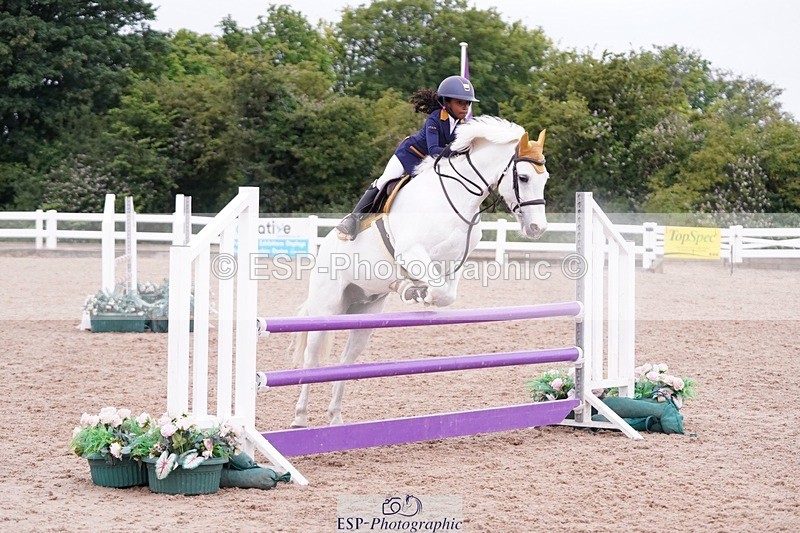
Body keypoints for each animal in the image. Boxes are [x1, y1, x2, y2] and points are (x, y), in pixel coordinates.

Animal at [289, 116, 550, 427]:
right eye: (523, 178)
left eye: (545, 179)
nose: (537, 229)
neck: (457, 198)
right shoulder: (411, 252)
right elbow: (434, 287)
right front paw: (413, 291)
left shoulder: (452, 263)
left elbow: (445, 293)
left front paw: (414, 291)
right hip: (327, 307)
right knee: (311, 359)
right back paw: (300, 417)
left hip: (365, 311)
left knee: (345, 362)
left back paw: (336, 417)